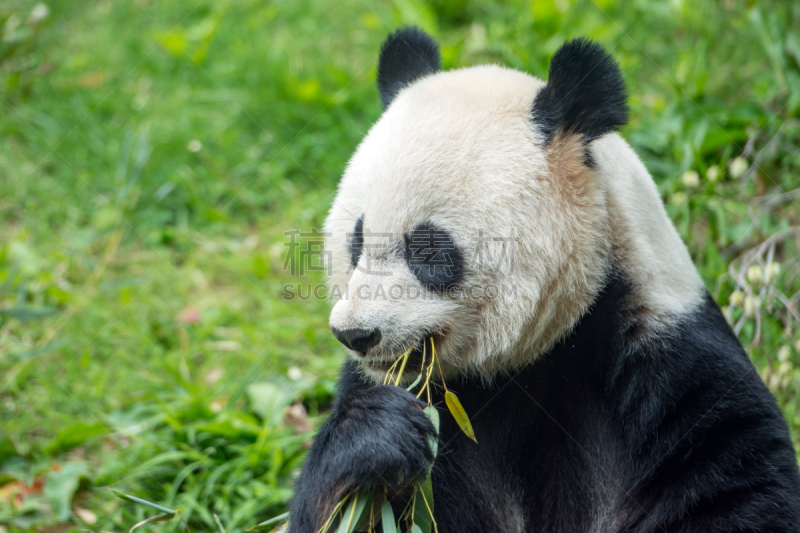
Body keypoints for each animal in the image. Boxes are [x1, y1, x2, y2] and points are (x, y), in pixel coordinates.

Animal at [288, 28, 800, 532]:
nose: (356, 333)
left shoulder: (671, 362)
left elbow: (735, 489)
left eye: (428, 249)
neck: (532, 363)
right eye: (356, 241)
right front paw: (376, 436)